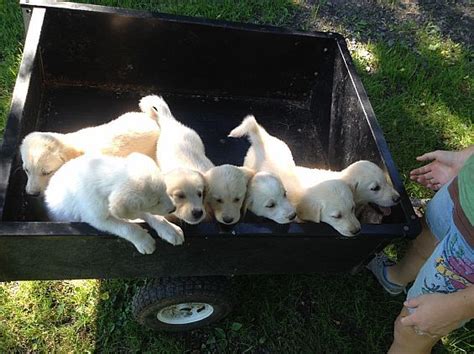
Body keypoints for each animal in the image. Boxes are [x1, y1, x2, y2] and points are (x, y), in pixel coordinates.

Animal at [44, 153, 184, 254]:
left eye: (165, 190)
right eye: (155, 202)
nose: (173, 208)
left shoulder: (134, 209)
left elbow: (153, 216)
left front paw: (170, 229)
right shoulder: (98, 218)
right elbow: (126, 227)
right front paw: (144, 240)